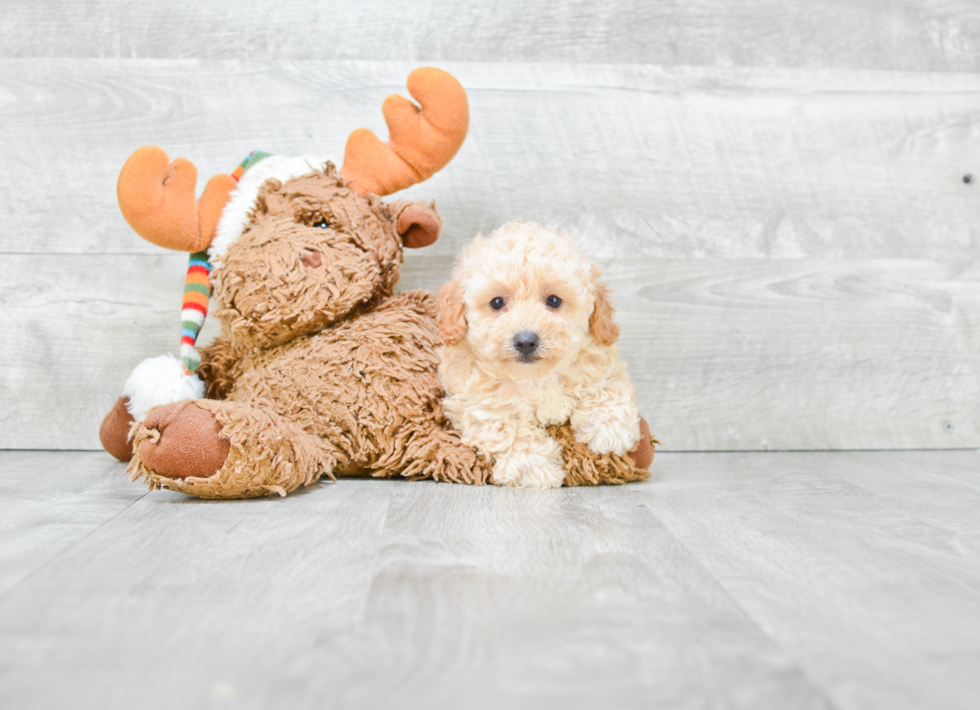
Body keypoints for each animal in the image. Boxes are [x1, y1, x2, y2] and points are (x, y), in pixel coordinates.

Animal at [438, 222, 644, 490]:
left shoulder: (600, 360)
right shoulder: (477, 404)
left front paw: (610, 430)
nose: (526, 341)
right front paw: (534, 467)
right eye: (496, 302)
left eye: (554, 300)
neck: (535, 378)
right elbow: (510, 429)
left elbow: (607, 386)